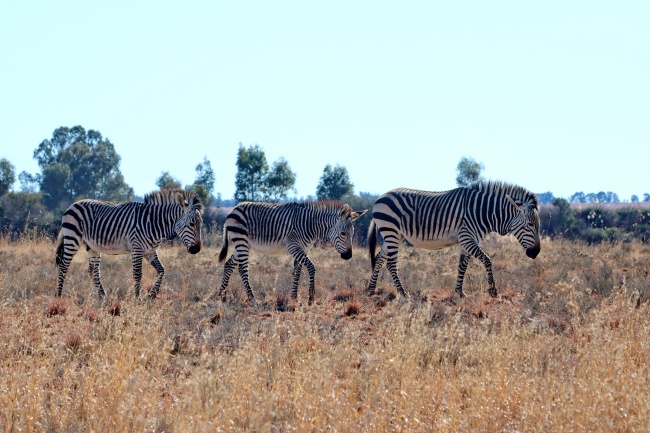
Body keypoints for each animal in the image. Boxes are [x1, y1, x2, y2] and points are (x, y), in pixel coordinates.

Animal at [55, 187, 202, 298]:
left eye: (200, 224)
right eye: (192, 224)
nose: (197, 250)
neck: (154, 222)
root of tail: (73, 204)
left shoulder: (150, 251)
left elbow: (161, 270)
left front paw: (152, 295)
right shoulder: (137, 249)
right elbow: (137, 274)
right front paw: (137, 299)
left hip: (92, 246)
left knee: (93, 271)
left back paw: (103, 296)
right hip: (72, 238)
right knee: (63, 266)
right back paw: (59, 295)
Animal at [218, 201, 368, 306]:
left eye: (352, 234)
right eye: (343, 233)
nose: (348, 256)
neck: (311, 226)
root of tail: (234, 209)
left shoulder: (303, 248)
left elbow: (297, 272)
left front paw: (294, 298)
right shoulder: (294, 247)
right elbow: (311, 267)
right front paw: (310, 298)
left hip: (241, 245)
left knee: (229, 265)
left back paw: (222, 297)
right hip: (241, 242)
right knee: (243, 270)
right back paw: (253, 300)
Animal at [368, 181, 540, 298]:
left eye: (537, 225)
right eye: (531, 224)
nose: (536, 253)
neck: (481, 211)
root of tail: (380, 197)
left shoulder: (468, 241)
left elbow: (462, 266)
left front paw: (459, 292)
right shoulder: (467, 238)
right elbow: (487, 260)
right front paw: (492, 290)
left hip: (394, 235)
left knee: (379, 258)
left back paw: (370, 289)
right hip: (391, 231)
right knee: (391, 263)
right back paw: (402, 293)